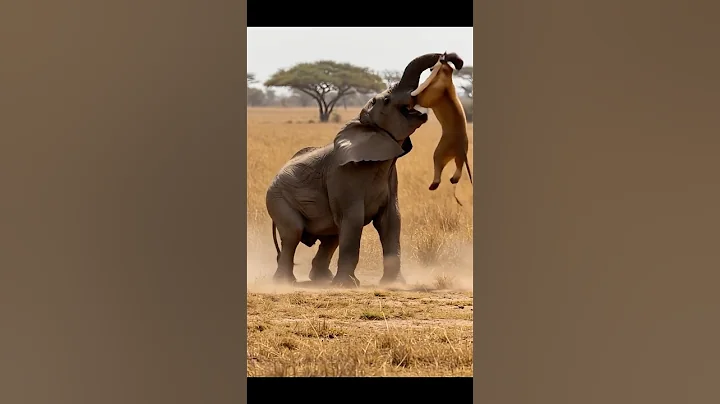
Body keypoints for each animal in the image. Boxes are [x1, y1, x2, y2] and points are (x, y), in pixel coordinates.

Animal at [266, 52, 460, 288]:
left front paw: (393, 284)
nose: (447, 58)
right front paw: (347, 285)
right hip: (277, 198)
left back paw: (321, 280)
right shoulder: (344, 176)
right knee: (294, 232)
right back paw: (285, 283)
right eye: (386, 100)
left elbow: (391, 221)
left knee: (331, 236)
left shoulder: (391, 178)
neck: (363, 123)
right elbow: (353, 220)